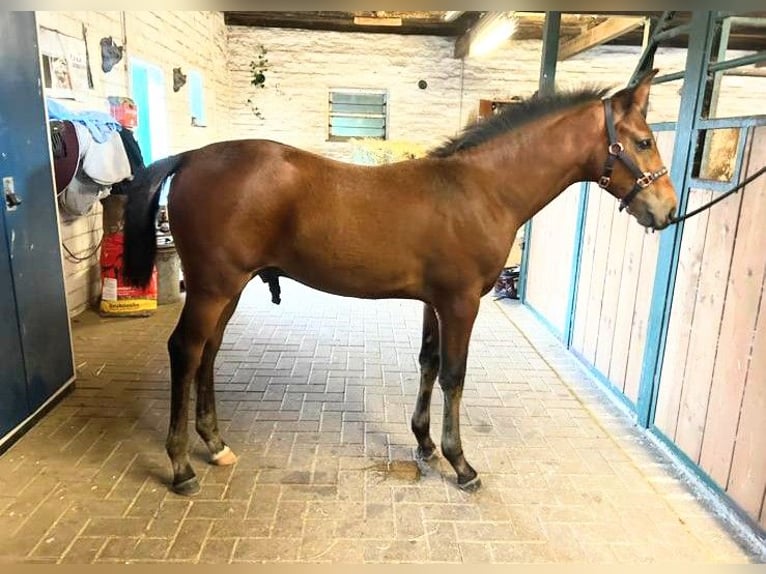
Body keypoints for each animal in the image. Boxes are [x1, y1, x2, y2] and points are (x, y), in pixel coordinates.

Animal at [121, 70, 680, 498]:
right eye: (645, 141)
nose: (668, 211)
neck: (481, 190)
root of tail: (192, 156)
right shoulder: (461, 304)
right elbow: (454, 375)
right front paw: (461, 464)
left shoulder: (435, 302)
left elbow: (428, 363)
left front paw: (425, 444)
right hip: (212, 288)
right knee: (185, 351)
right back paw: (181, 467)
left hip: (228, 290)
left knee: (208, 353)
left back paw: (215, 446)